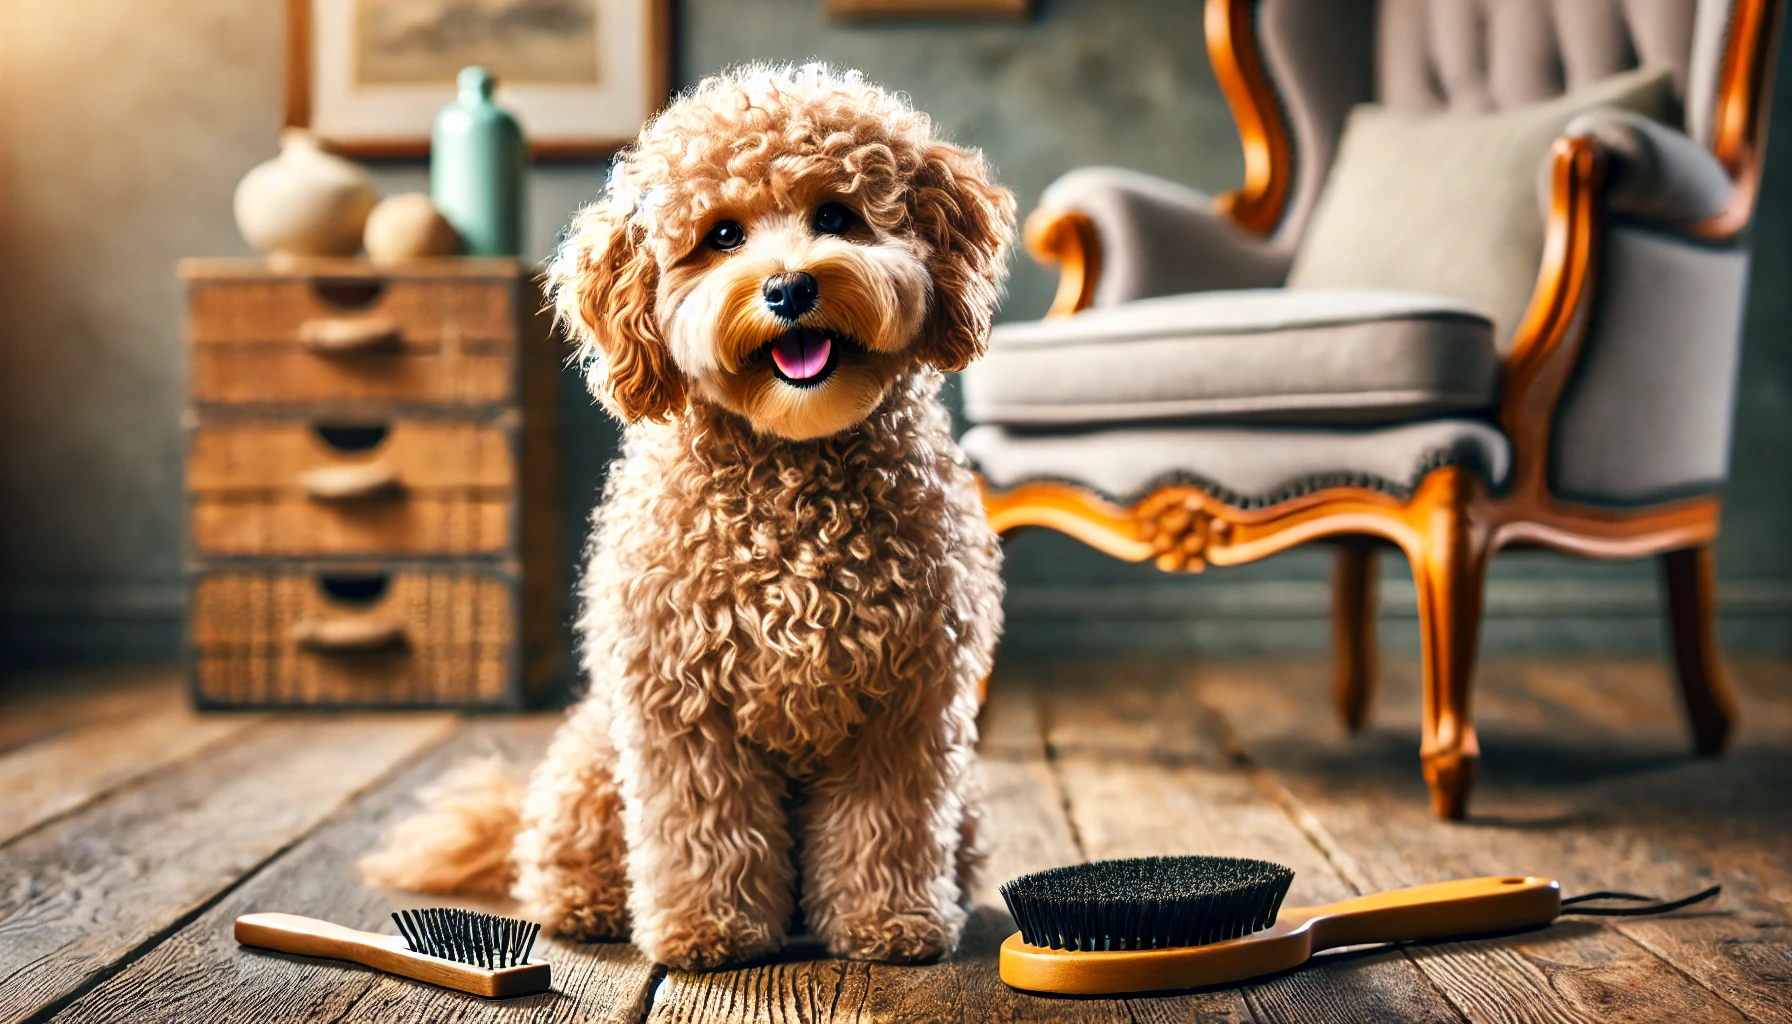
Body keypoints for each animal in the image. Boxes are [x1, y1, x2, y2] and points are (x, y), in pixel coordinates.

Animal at [356, 64, 1017, 968]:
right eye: (722, 234)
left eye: (836, 216)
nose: (790, 286)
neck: (791, 473)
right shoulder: (683, 704)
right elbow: (706, 829)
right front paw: (709, 928)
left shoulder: (907, 702)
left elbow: (887, 825)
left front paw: (891, 923)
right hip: (593, 758)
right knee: (555, 857)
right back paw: (591, 903)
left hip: (971, 804)